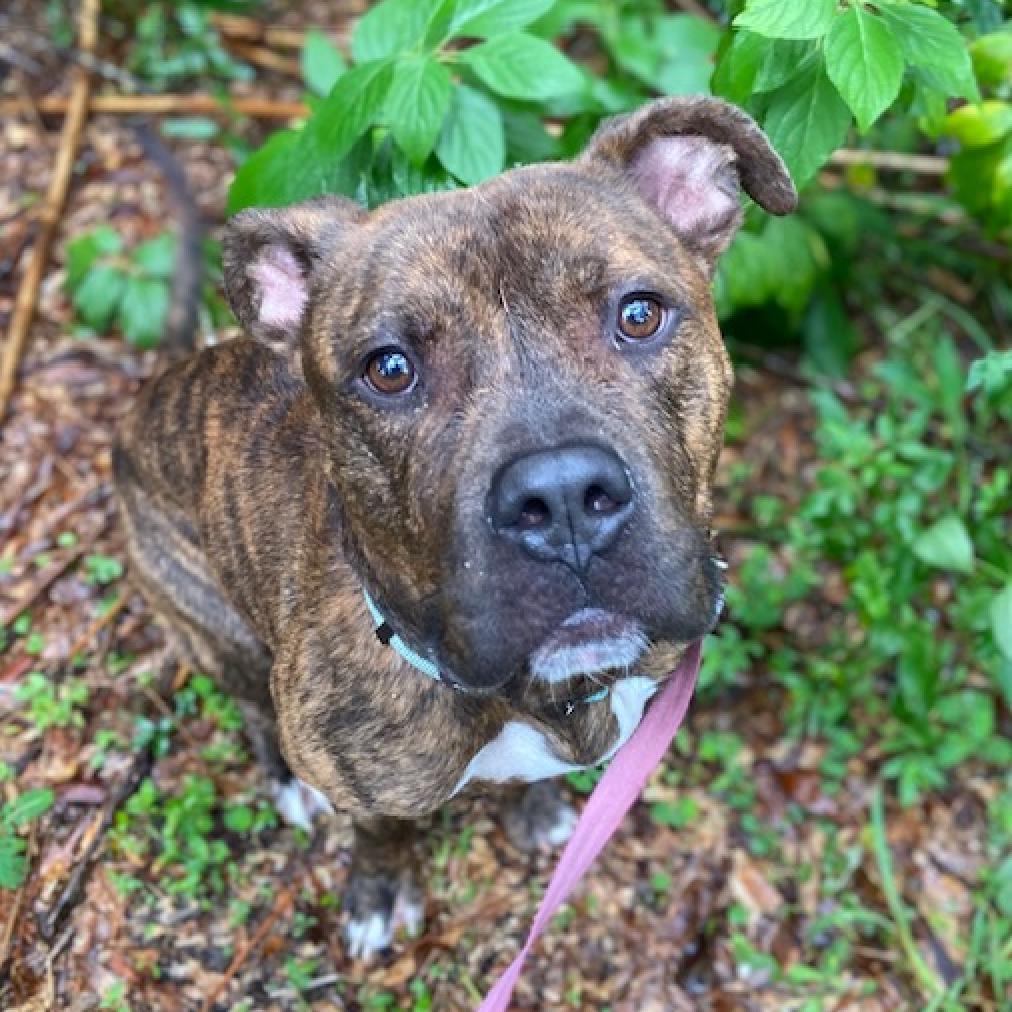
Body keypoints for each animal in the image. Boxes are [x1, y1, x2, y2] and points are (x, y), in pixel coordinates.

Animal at [114, 96, 797, 955]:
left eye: (639, 314)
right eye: (389, 368)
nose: (562, 499)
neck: (533, 697)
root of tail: (156, 387)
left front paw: (537, 810)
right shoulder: (366, 783)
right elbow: (382, 833)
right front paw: (378, 893)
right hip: (215, 623)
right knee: (249, 703)